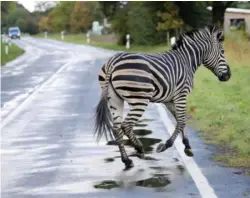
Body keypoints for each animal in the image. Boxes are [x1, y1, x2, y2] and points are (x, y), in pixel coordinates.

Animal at [94, 25, 230, 169]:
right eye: (222, 51)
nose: (229, 75)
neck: (187, 61)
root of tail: (113, 62)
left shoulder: (169, 99)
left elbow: (181, 120)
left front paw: (187, 146)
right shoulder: (181, 95)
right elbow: (181, 121)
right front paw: (166, 145)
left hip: (114, 99)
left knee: (116, 128)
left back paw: (127, 160)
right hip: (139, 100)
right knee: (126, 125)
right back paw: (139, 149)